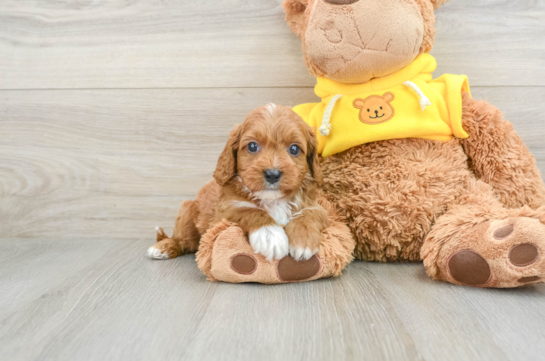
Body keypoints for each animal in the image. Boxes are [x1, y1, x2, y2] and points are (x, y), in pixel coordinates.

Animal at [147, 104, 330, 262]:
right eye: (252, 146)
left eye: (294, 149)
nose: (272, 174)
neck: (273, 200)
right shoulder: (223, 213)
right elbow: (249, 210)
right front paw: (270, 235)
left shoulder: (315, 205)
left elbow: (311, 213)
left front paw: (303, 240)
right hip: (187, 211)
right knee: (182, 240)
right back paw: (162, 247)